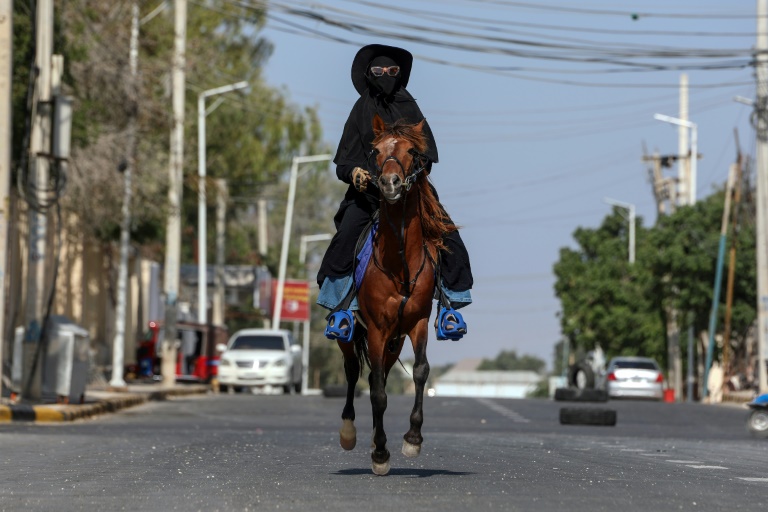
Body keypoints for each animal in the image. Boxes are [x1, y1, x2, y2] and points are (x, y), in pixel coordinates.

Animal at [334, 113, 456, 476]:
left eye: (412, 151)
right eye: (375, 150)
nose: (389, 184)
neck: (399, 261)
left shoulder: (416, 323)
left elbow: (420, 372)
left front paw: (412, 440)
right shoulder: (375, 328)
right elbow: (375, 392)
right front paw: (379, 454)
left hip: (394, 341)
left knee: (383, 374)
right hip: (353, 334)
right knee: (354, 371)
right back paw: (351, 433)